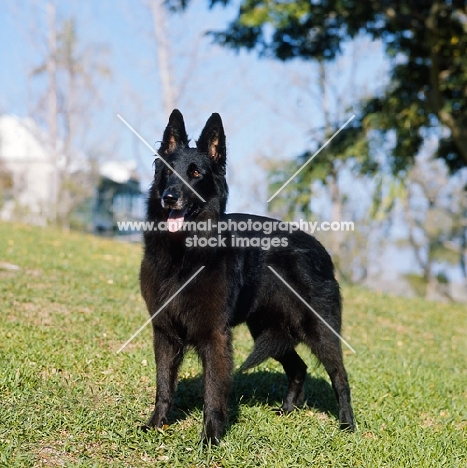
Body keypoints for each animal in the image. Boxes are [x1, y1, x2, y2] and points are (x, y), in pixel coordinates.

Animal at [141, 111, 356, 444]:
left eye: (195, 173)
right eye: (168, 172)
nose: (169, 198)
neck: (185, 255)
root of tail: (321, 248)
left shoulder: (214, 335)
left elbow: (213, 392)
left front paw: (211, 438)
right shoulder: (164, 331)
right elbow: (164, 384)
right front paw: (156, 425)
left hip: (319, 331)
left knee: (340, 376)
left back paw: (347, 424)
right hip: (266, 329)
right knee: (299, 368)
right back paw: (288, 410)